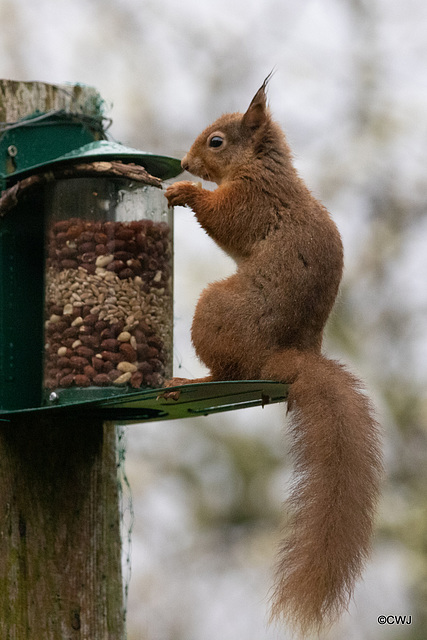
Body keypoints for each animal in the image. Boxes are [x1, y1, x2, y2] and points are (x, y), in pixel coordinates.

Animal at [165, 75, 384, 636]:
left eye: (217, 142)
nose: (184, 163)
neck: (260, 166)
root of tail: (287, 358)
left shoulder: (254, 200)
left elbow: (224, 218)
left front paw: (184, 194)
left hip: (215, 312)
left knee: (228, 369)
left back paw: (194, 383)